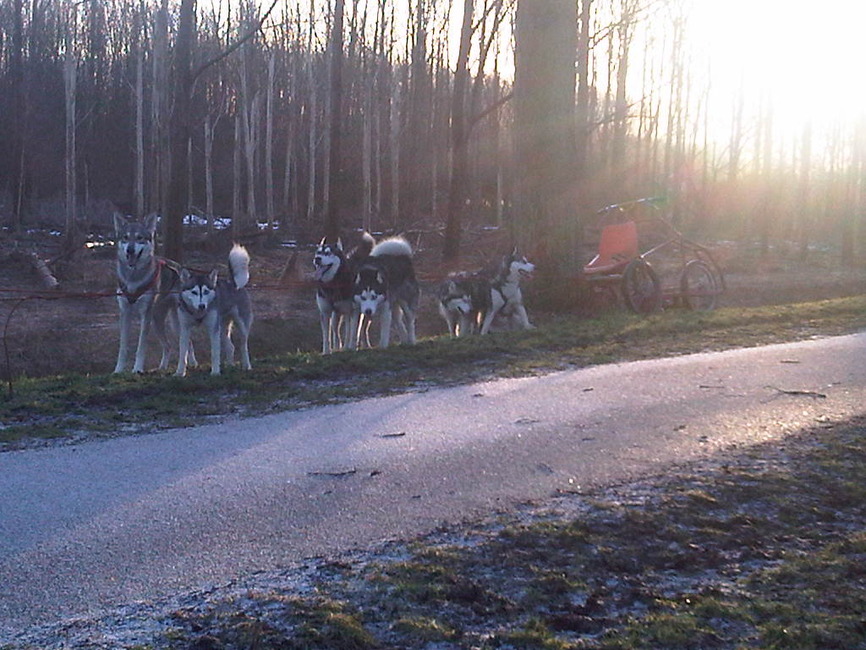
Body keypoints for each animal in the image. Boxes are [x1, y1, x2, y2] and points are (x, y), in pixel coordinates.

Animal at [113, 213, 188, 373]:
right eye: (125, 237)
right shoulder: (125, 313)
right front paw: (118, 370)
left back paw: (191, 364)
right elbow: (123, 348)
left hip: (176, 323)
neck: (133, 278)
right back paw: (162, 367)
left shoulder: (144, 315)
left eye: (140, 238)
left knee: (187, 344)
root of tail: (179, 267)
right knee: (168, 346)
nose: (130, 250)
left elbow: (141, 346)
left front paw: (137, 369)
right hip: (157, 322)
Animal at [174, 244, 253, 377]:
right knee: (230, 347)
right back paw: (230, 366)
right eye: (194, 292)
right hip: (221, 327)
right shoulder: (184, 329)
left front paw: (215, 372)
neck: (198, 313)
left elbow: (215, 353)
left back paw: (246, 365)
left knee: (243, 345)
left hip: (240, 326)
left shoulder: (213, 330)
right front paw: (180, 372)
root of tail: (233, 282)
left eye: (206, 291)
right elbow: (182, 354)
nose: (202, 306)